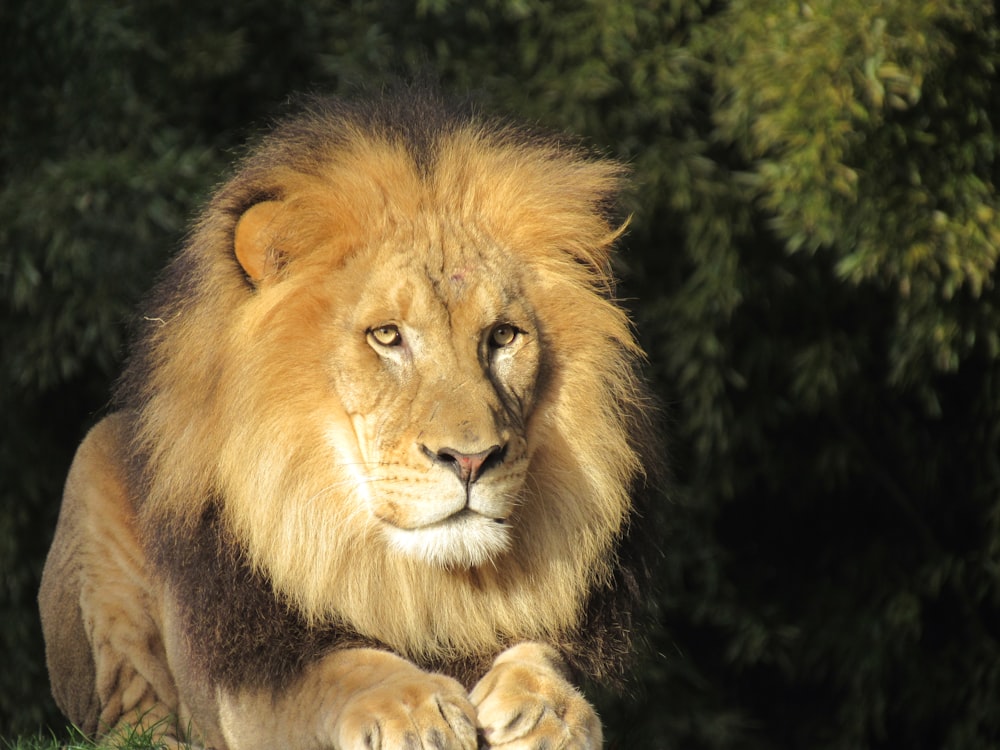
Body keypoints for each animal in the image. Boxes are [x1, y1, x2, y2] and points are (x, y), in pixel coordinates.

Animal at [39, 89, 660, 750]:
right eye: (387, 336)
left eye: (502, 337)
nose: (471, 459)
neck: (421, 579)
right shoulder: (250, 682)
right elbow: (340, 667)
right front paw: (412, 708)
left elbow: (545, 652)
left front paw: (544, 709)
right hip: (94, 466)